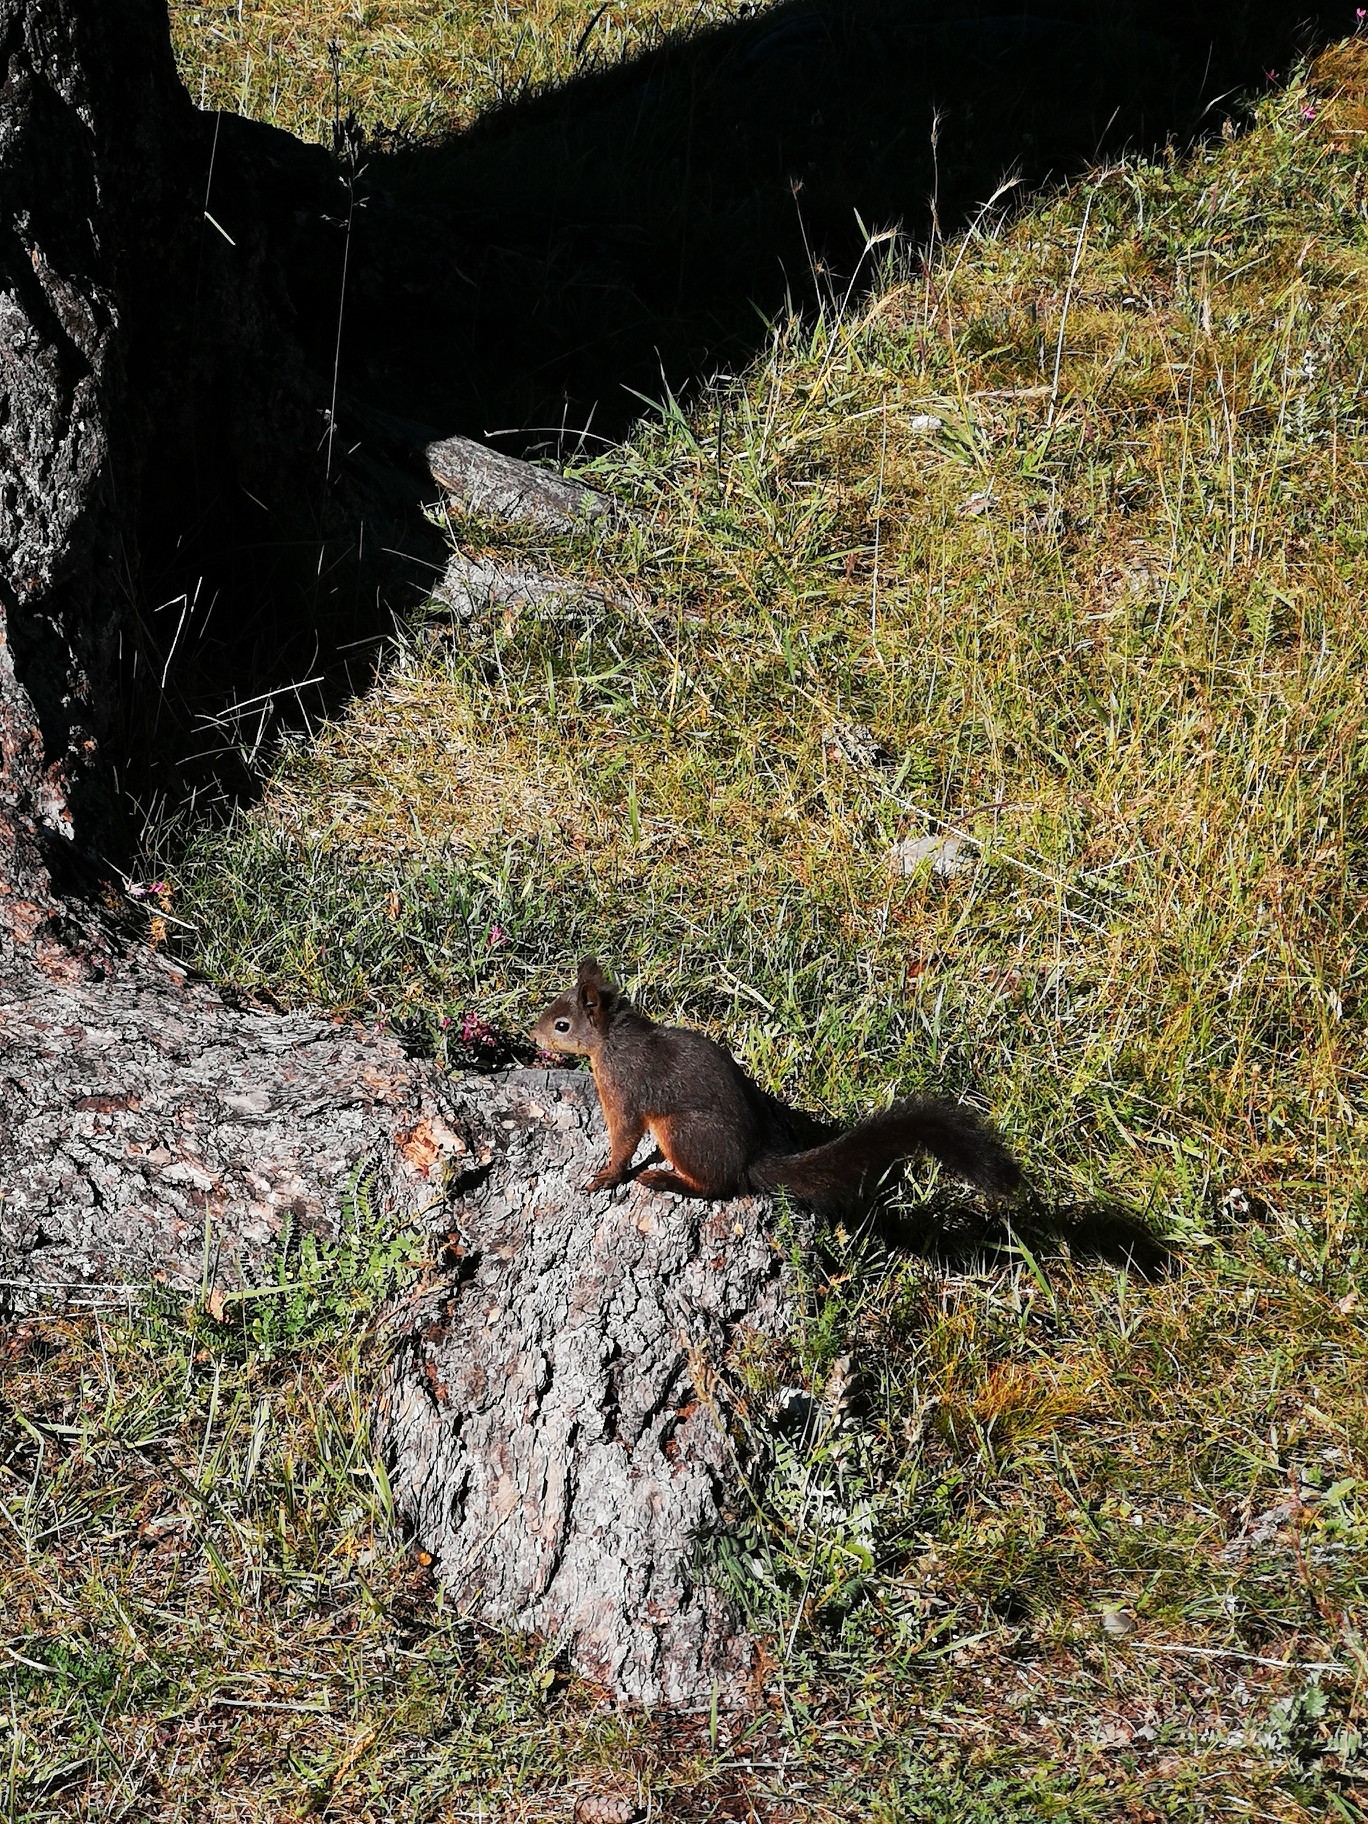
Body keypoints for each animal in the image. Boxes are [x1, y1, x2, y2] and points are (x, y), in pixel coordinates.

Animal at [528, 955, 1021, 1211]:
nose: (533, 1034)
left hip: (682, 1132)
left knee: (717, 1187)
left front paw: (606, 1176)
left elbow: (625, 1138)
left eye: (563, 1025)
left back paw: (665, 1180)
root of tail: (748, 1161)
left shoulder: (625, 1090)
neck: (612, 1039)